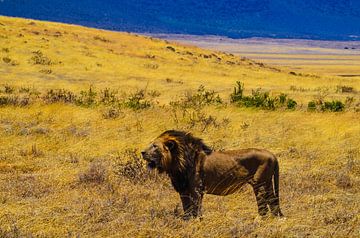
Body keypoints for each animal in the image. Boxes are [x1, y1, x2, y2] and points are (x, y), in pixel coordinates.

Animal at [141, 130, 284, 219]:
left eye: (155, 146)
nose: (142, 152)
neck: (177, 164)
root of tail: (273, 155)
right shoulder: (183, 190)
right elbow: (186, 208)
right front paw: (187, 221)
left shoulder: (196, 189)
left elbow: (195, 208)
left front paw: (197, 221)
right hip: (267, 182)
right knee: (272, 200)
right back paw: (274, 218)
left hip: (259, 183)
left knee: (263, 203)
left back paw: (259, 219)